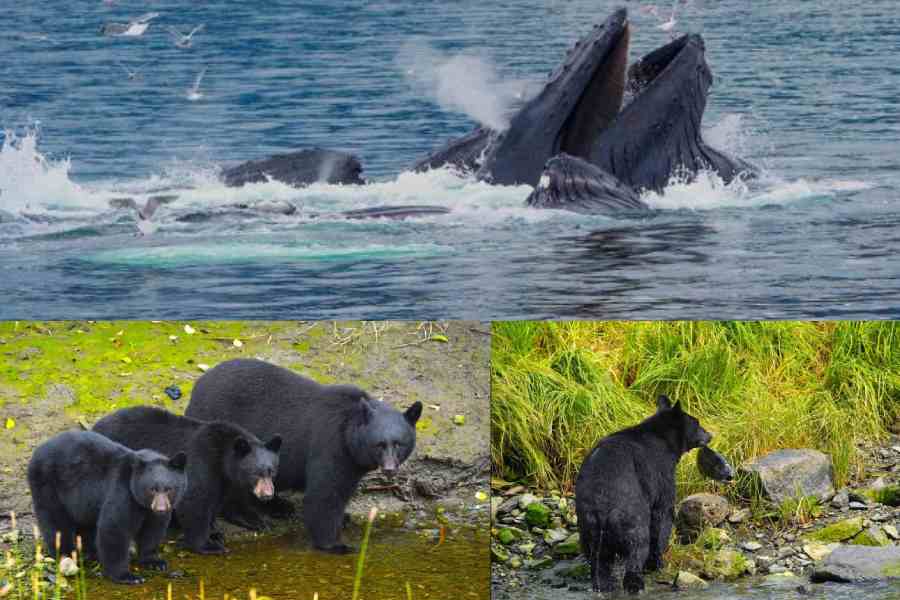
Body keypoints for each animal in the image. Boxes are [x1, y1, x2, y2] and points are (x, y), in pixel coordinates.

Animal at [27, 430, 187, 584]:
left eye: (169, 489)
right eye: (152, 489)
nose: (161, 509)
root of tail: (37, 451)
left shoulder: (153, 511)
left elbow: (153, 530)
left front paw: (155, 562)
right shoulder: (123, 493)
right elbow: (114, 528)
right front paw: (127, 576)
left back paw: (89, 553)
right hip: (48, 485)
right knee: (56, 522)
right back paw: (66, 555)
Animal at [93, 406, 282, 554]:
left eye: (271, 472)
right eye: (256, 473)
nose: (268, 495)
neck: (222, 457)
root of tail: (95, 426)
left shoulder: (224, 480)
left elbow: (219, 500)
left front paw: (256, 522)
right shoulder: (201, 462)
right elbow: (194, 503)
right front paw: (208, 544)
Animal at [185, 358, 423, 554]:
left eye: (399, 444)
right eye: (379, 445)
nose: (390, 468)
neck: (349, 433)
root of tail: (197, 387)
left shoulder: (351, 459)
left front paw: (344, 518)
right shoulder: (331, 444)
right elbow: (325, 492)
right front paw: (336, 544)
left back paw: (279, 506)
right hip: (224, 433)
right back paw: (251, 517)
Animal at [575, 395, 712, 595]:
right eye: (697, 422)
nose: (710, 435)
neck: (665, 440)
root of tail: (602, 508)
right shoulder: (661, 473)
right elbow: (662, 517)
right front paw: (657, 562)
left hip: (587, 523)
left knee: (598, 558)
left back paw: (603, 584)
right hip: (630, 515)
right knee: (637, 545)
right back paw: (635, 583)